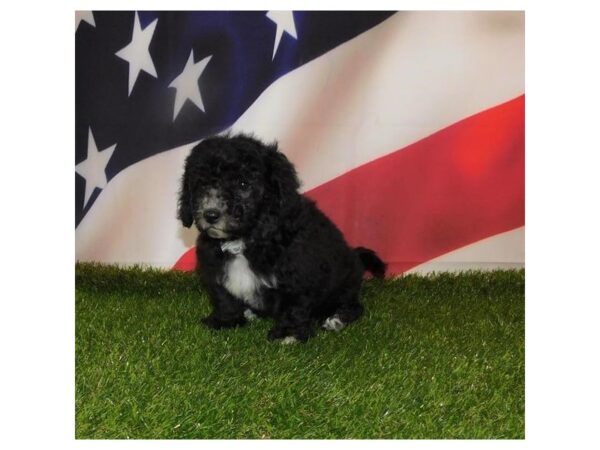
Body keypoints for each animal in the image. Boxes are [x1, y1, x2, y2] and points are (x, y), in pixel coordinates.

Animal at [177, 135, 384, 342]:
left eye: (243, 184)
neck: (245, 238)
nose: (211, 215)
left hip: (344, 285)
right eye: (202, 184)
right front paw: (225, 321)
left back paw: (336, 318)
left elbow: (295, 305)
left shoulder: (299, 273)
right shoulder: (214, 267)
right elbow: (224, 298)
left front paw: (288, 334)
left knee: (353, 306)